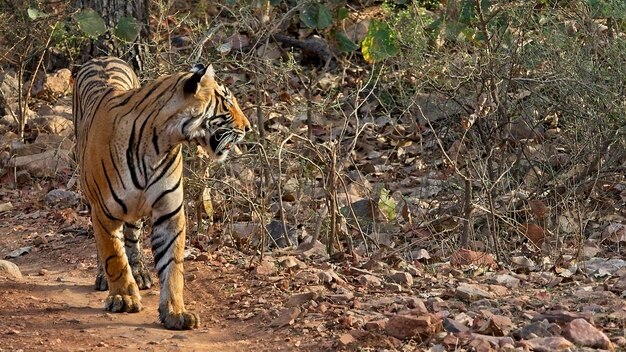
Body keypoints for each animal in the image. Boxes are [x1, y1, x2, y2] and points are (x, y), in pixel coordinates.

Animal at [72, 55, 250, 330]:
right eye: (228, 102)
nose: (249, 127)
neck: (160, 143)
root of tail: (102, 57)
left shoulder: (169, 212)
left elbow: (172, 265)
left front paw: (175, 312)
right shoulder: (104, 211)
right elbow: (113, 255)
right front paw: (123, 298)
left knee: (132, 236)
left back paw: (140, 273)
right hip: (92, 197)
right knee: (106, 245)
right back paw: (105, 279)